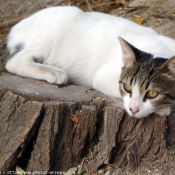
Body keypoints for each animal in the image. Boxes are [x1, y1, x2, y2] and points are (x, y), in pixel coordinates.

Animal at [4, 5, 175, 117]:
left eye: (151, 92)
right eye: (127, 86)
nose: (134, 110)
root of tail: (17, 26)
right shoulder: (103, 77)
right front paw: (164, 108)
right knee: (14, 62)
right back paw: (53, 72)